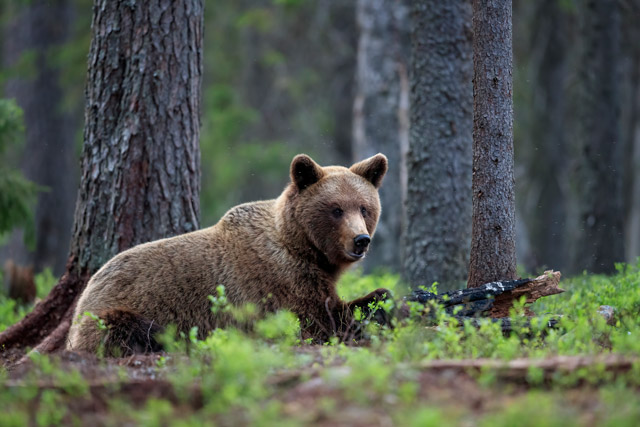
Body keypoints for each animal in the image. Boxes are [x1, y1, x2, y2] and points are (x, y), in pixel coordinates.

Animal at [67, 153, 391, 355]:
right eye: (336, 209)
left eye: (364, 207)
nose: (361, 240)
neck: (304, 248)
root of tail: (85, 293)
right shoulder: (282, 277)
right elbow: (323, 320)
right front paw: (383, 300)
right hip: (110, 312)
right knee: (131, 329)